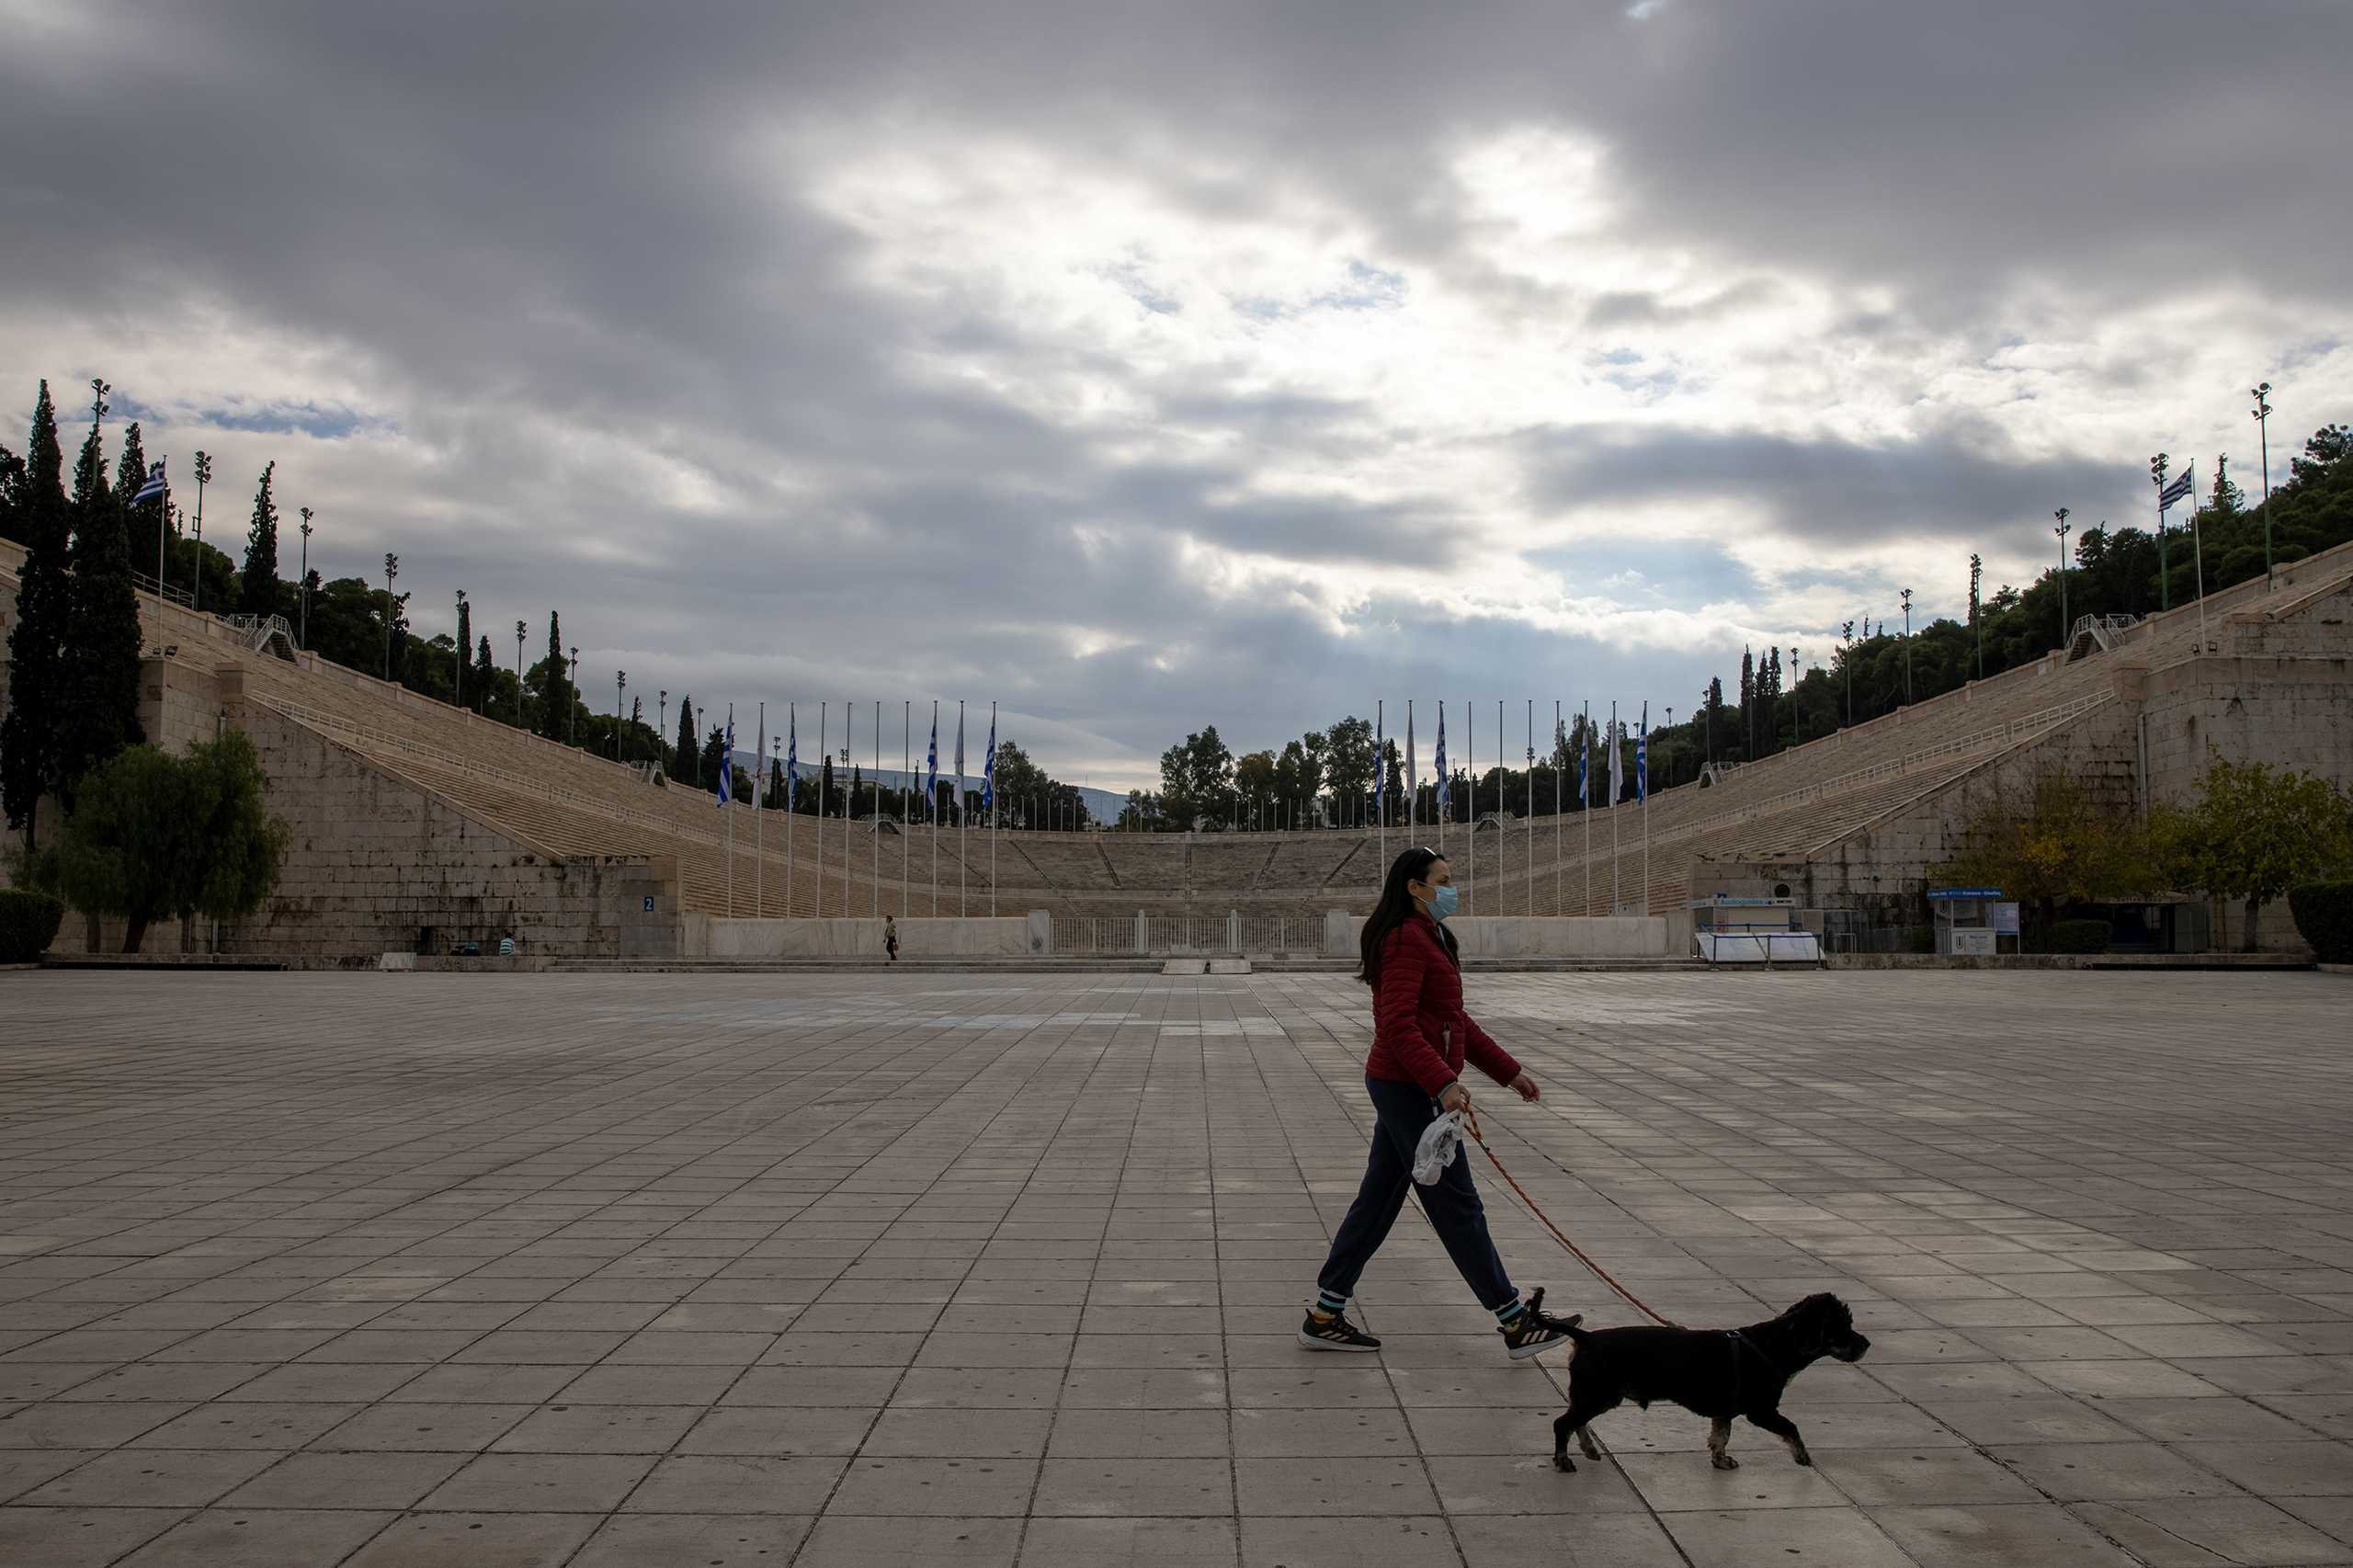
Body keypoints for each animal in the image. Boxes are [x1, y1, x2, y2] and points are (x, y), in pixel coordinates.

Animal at [1552, 1280, 1863, 1469]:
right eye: (1843, 1327)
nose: (1867, 1345)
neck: (1773, 1345)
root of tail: (1585, 1337)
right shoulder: (1761, 1411)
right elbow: (1791, 1427)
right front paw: (1802, 1456)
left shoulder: (1725, 1410)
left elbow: (1721, 1435)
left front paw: (1720, 1460)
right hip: (1598, 1394)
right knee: (1563, 1424)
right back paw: (1563, 1460)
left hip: (1592, 1395)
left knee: (1576, 1422)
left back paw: (1589, 1450)